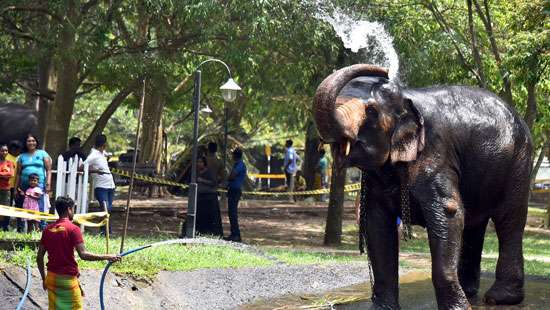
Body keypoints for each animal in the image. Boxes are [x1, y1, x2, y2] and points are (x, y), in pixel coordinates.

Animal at [314, 64, 536, 308]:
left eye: (371, 111)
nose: (384, 70)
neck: (405, 97)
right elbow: (376, 222)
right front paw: (381, 308)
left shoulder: (436, 153)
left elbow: (448, 212)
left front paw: (458, 309)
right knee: (474, 223)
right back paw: (470, 293)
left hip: (518, 163)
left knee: (509, 219)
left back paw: (499, 298)